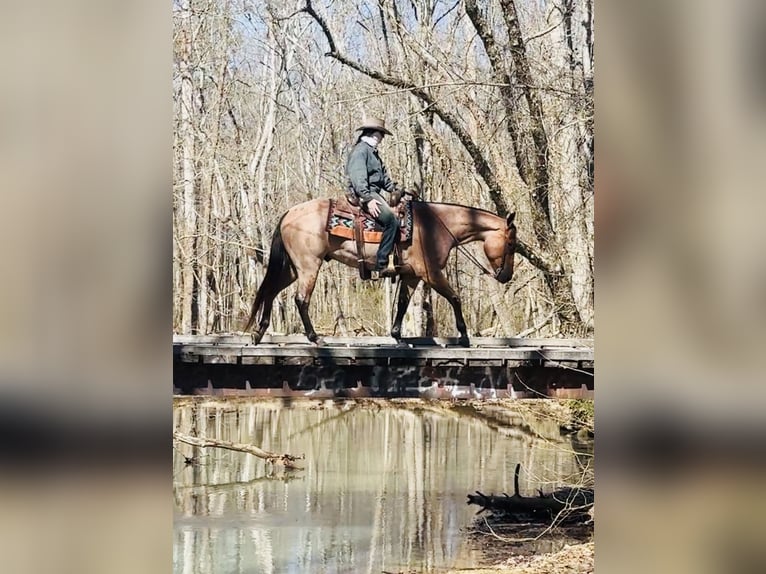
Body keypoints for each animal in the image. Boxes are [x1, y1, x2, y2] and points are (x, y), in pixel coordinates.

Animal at [244, 197, 517, 346]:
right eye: (511, 244)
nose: (506, 276)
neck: (436, 226)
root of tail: (289, 213)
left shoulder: (412, 275)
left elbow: (403, 304)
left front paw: (398, 336)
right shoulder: (431, 273)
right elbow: (455, 297)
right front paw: (464, 336)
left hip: (292, 268)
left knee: (270, 291)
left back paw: (259, 333)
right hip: (309, 266)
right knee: (301, 299)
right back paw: (315, 338)